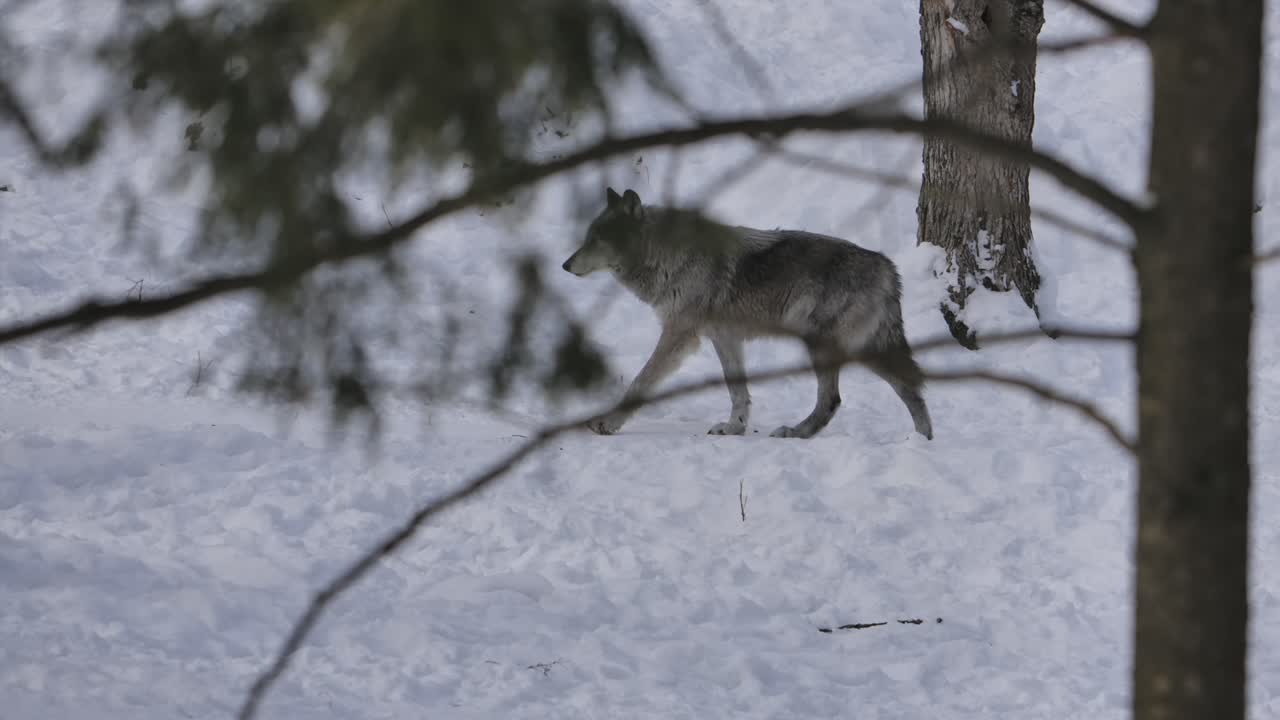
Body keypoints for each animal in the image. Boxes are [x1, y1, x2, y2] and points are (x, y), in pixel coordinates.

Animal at [562, 187, 933, 440]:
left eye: (597, 239)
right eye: (586, 238)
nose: (565, 265)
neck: (667, 256)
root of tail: (887, 267)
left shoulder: (679, 335)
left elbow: (640, 381)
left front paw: (607, 423)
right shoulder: (724, 337)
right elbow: (737, 390)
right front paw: (734, 428)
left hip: (828, 344)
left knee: (834, 399)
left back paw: (796, 433)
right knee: (908, 389)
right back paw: (922, 441)